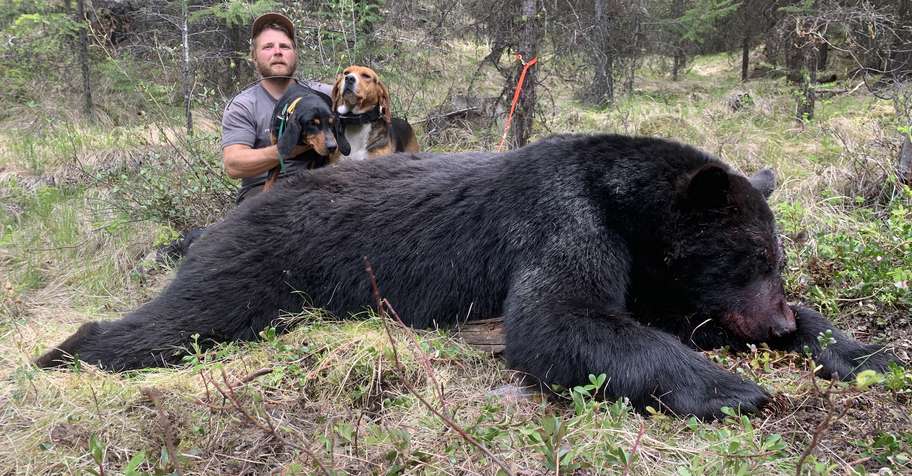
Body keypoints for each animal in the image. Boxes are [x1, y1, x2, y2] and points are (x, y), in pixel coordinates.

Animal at [36, 134, 897, 419]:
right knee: (176, 321)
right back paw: (61, 350)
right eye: (750, 259)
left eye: (775, 262)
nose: (774, 324)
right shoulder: (558, 220)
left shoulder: (659, 274)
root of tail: (223, 216)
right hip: (257, 267)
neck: (623, 203)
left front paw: (863, 352)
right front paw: (729, 388)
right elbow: (559, 320)